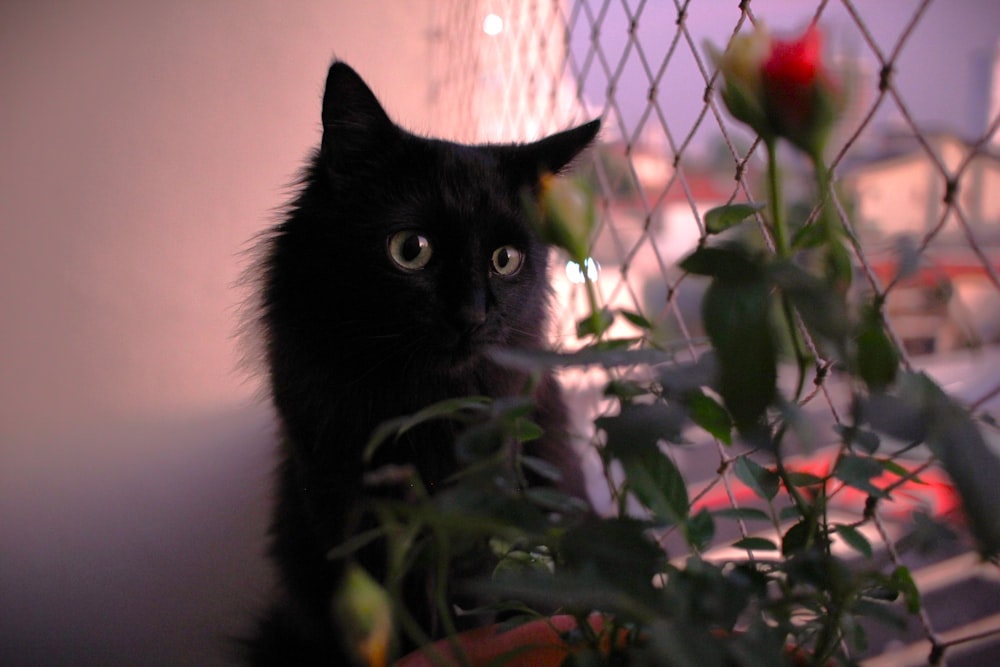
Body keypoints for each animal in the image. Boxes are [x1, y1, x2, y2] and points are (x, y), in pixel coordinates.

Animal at [245, 60, 596, 664]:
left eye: (506, 260)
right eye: (411, 249)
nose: (472, 314)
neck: (417, 405)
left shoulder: (480, 498)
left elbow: (470, 599)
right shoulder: (341, 496)